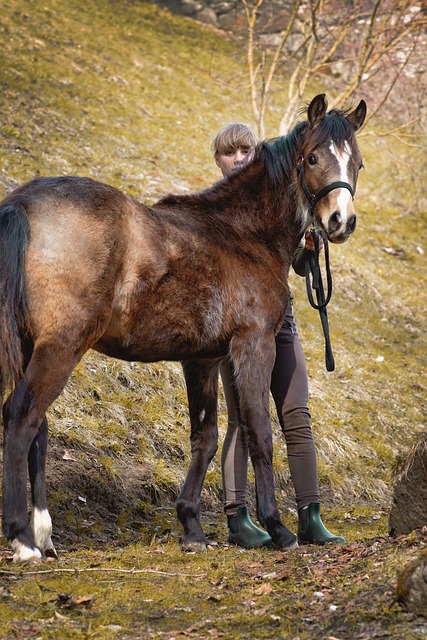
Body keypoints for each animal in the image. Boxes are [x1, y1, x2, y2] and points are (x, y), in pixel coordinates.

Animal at [0, 94, 368, 560]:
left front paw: (191, 526)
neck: (242, 235)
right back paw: (22, 537)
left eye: (357, 163)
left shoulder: (202, 359)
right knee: (22, 416)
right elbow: (260, 433)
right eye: (314, 157)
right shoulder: (254, 346)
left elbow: (205, 439)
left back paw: (43, 532)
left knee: (37, 427)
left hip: (33, 345)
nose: (340, 221)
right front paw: (277, 528)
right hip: (62, 346)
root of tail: (23, 203)